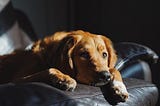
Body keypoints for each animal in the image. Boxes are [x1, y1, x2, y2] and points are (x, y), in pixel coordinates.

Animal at [0, 29, 128, 102]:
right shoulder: (17, 80)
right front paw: (64, 79)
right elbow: (50, 69)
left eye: (105, 54)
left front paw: (120, 88)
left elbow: (114, 70)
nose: (105, 76)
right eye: (84, 54)